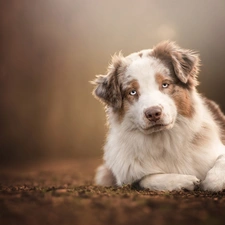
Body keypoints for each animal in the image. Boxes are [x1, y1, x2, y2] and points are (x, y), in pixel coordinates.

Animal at [91, 41, 225, 191]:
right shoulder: (127, 175)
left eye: (165, 84)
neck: (164, 140)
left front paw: (213, 181)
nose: (153, 113)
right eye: (132, 92)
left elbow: (219, 165)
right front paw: (185, 181)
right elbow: (148, 178)